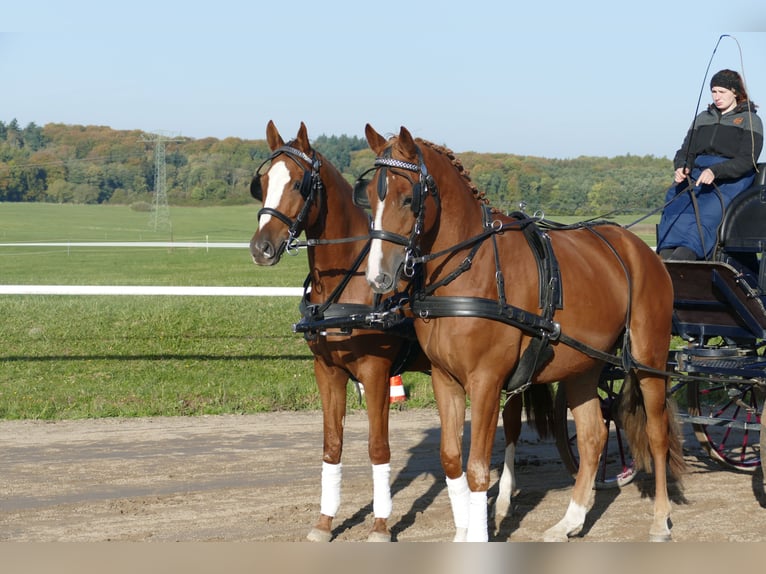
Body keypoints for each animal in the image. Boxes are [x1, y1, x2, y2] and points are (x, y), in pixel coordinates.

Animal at [249, 121, 548, 544]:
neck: (350, 280)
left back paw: (504, 500)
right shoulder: (327, 371)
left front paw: (379, 524)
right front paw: (324, 522)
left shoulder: (376, 372)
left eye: (298, 184)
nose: (261, 247)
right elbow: (332, 446)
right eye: (263, 182)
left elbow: (378, 449)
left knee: (512, 427)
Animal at [360, 124, 688, 544]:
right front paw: (464, 531)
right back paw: (570, 521)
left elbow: (478, 468)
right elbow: (451, 460)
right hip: (584, 365)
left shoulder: (486, 381)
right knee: (593, 436)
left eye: (407, 198)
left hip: (648, 358)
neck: (472, 268)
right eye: (370, 195)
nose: (378, 277)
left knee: (657, 433)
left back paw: (660, 520)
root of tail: (639, 250)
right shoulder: (445, 379)